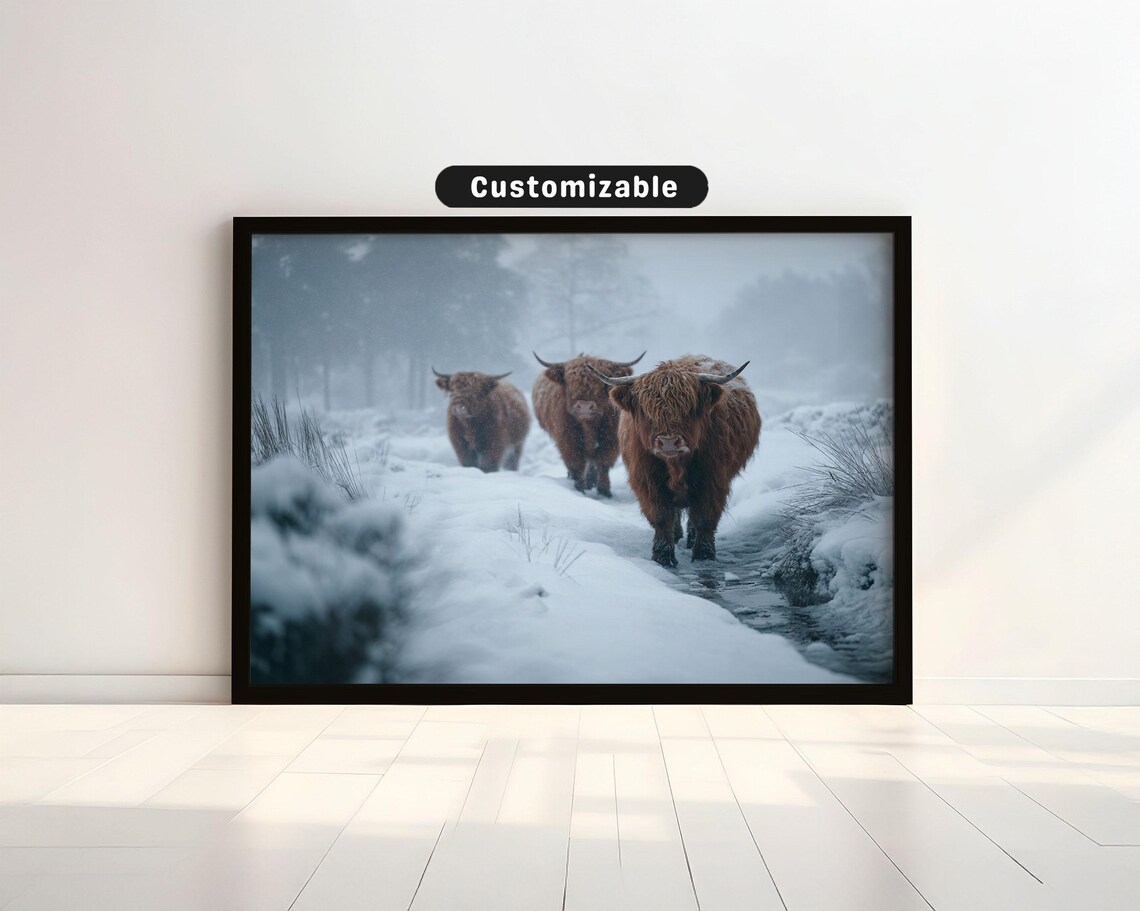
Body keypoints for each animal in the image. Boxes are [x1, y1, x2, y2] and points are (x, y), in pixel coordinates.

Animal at [531, 351, 645, 497]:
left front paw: (604, 490)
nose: (585, 407)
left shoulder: (610, 439)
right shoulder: (567, 438)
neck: (588, 426)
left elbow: (603, 463)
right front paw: (579, 488)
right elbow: (576, 462)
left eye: (601, 384)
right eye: (570, 382)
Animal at [587, 356, 760, 567]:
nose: (669, 441)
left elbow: (704, 518)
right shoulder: (647, 480)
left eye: (689, 408)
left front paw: (704, 556)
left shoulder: (714, 479)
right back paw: (677, 535)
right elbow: (661, 517)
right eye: (647, 410)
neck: (676, 465)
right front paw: (662, 557)